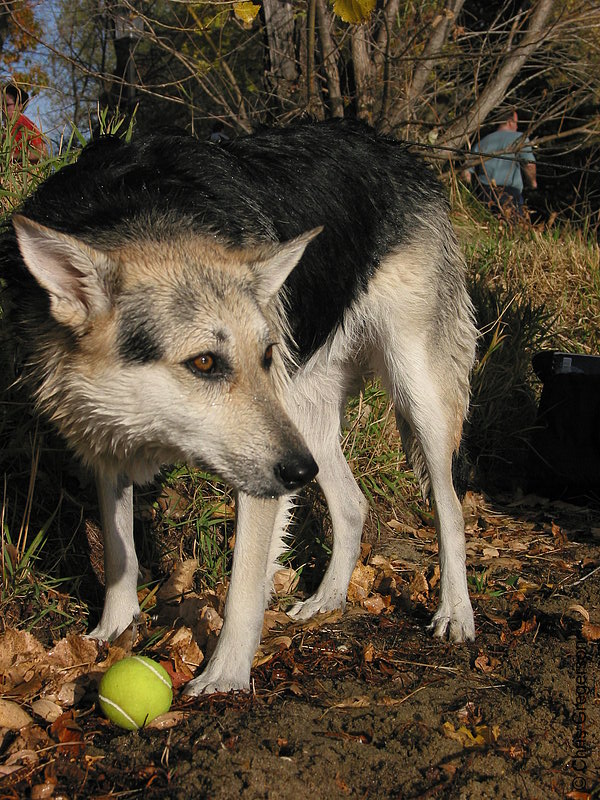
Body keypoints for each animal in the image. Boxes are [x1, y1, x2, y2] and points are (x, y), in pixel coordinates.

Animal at [2, 120, 476, 692]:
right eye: (205, 362)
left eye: (265, 354)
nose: (299, 472)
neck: (144, 211)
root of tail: (400, 150)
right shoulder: (106, 435)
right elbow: (120, 552)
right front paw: (112, 631)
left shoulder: (264, 472)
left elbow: (244, 587)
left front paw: (225, 675)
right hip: (305, 419)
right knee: (352, 504)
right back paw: (326, 600)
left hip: (411, 397)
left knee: (450, 509)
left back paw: (455, 612)